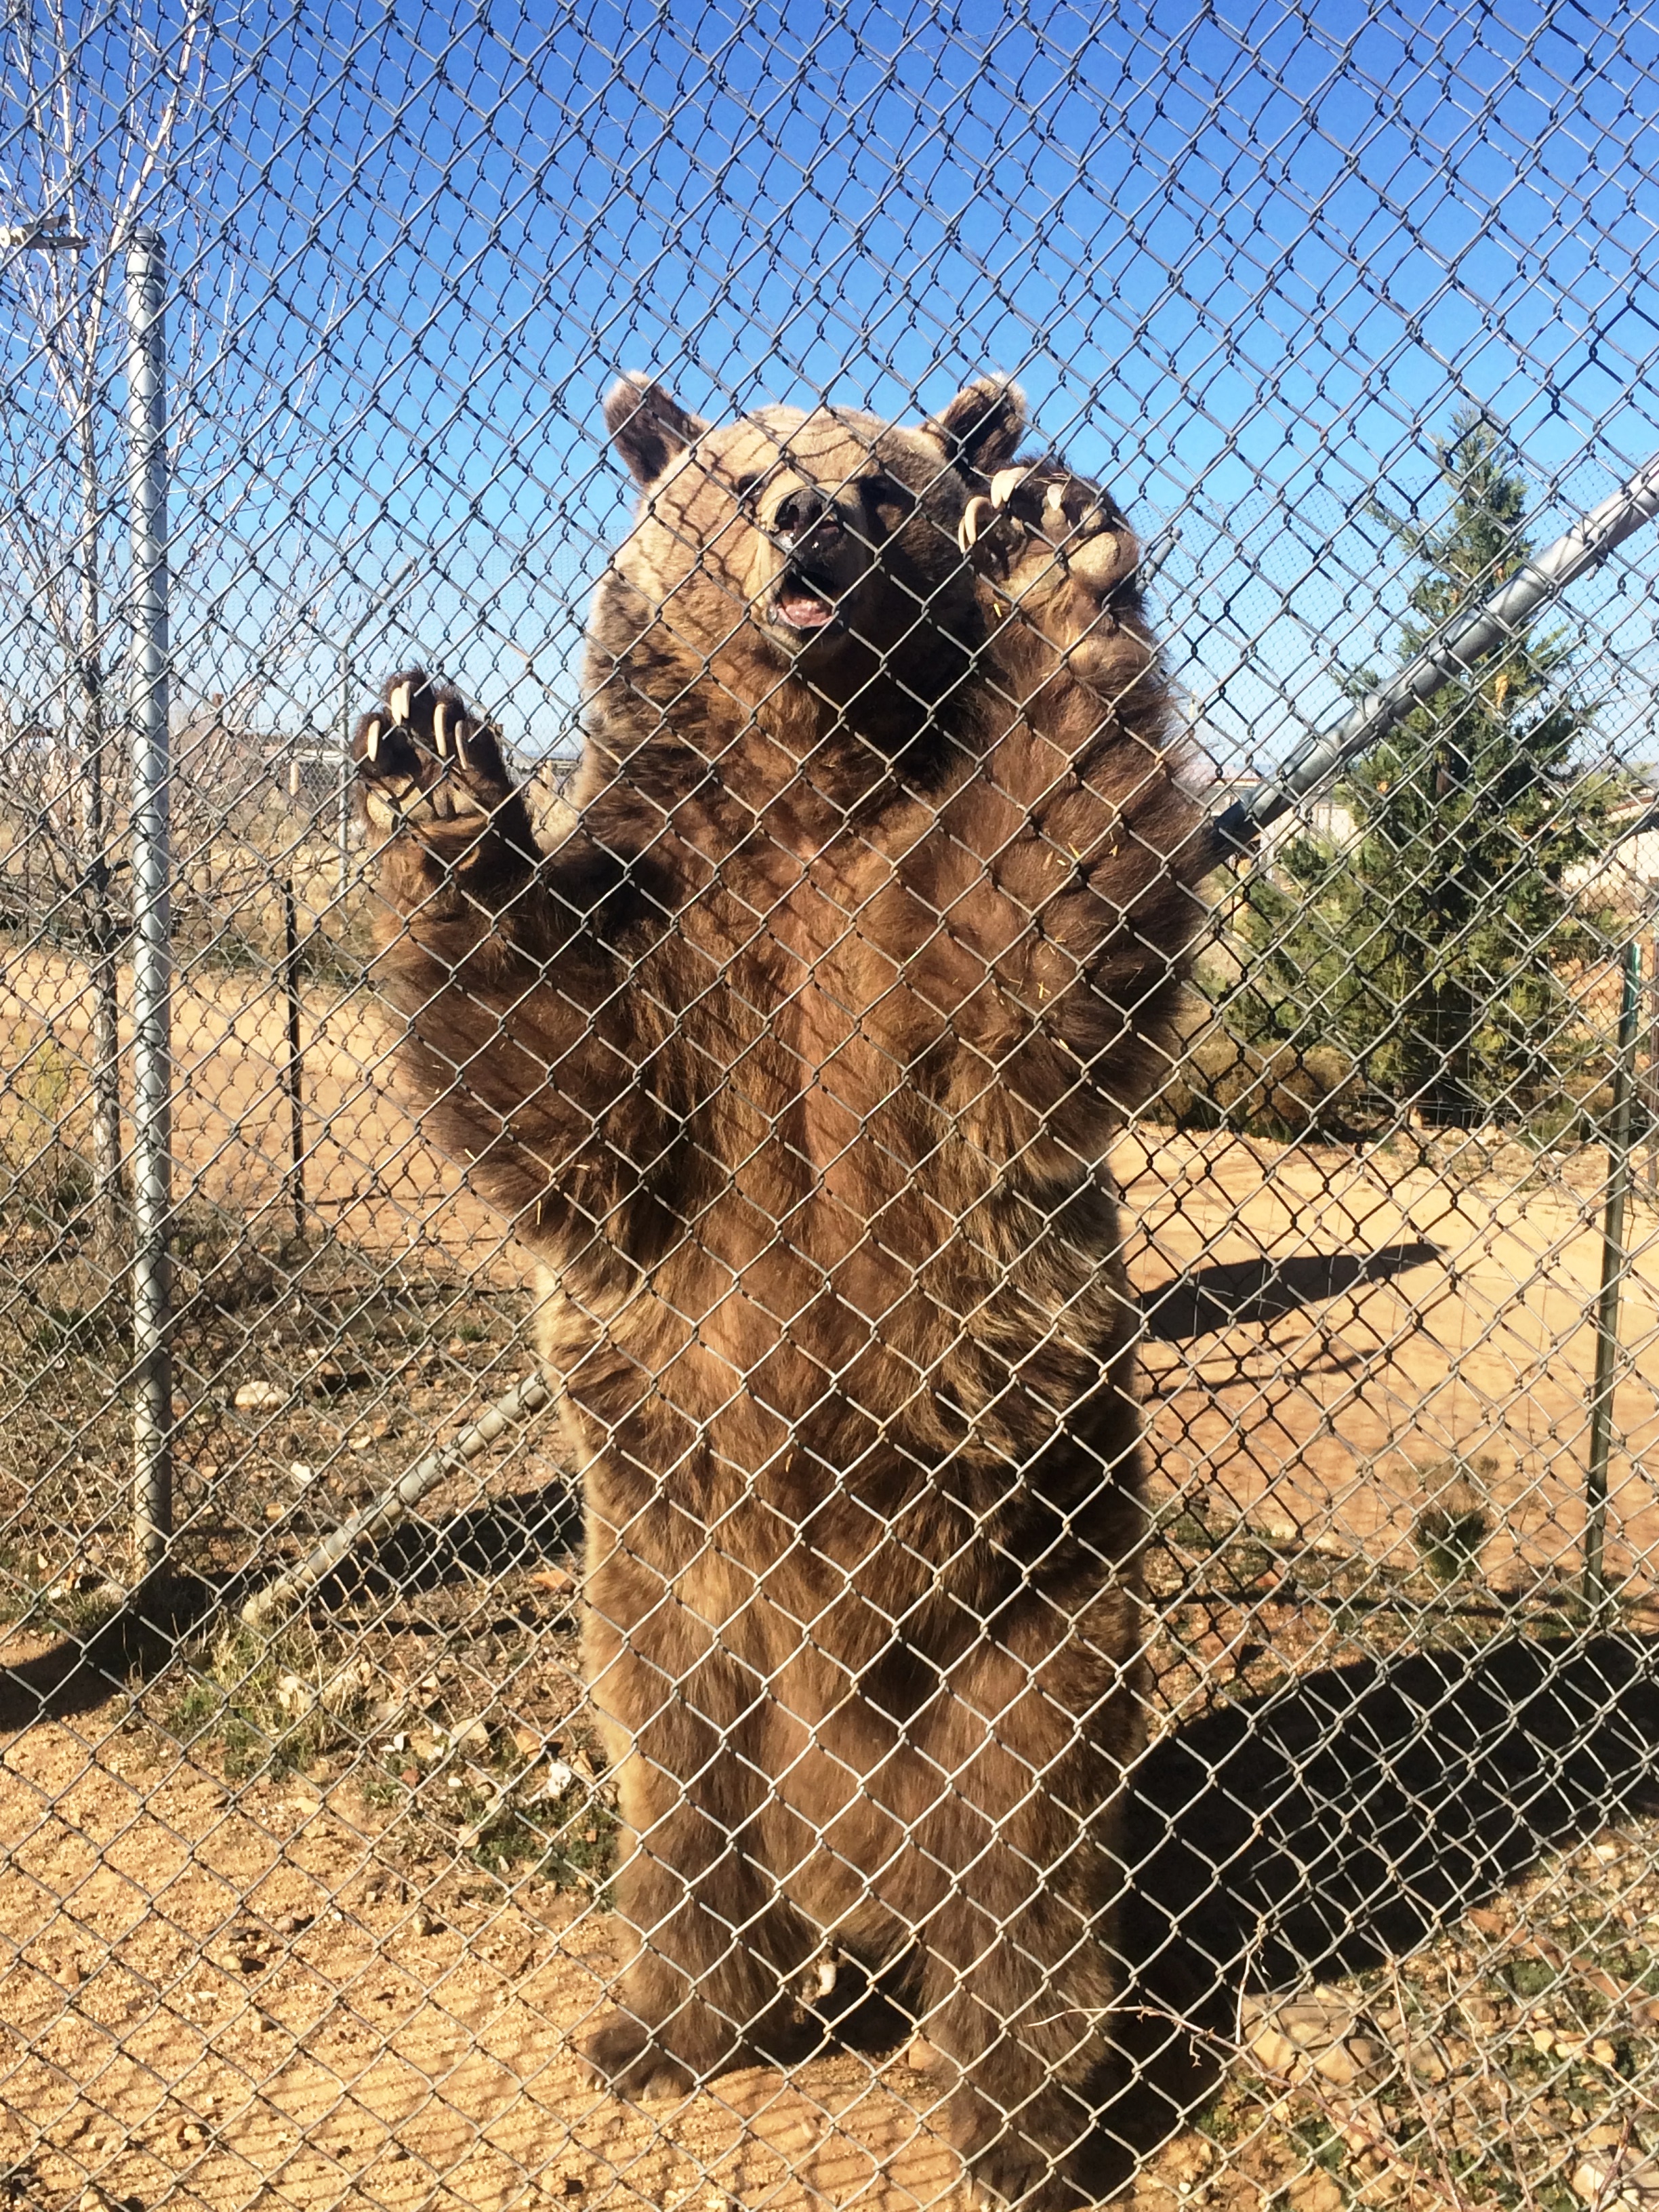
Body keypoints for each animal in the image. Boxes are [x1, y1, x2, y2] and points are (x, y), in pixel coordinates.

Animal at [354, 380, 1212, 2212]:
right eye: (739, 477)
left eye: (886, 483)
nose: (810, 521)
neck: (812, 794)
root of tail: (857, 1873)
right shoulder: (675, 950)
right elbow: (561, 1070)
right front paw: (434, 761)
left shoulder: (917, 972)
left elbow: (1043, 886)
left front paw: (1049, 548)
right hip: (673, 1596)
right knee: (678, 1810)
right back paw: (666, 2025)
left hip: (1024, 1599)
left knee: (1028, 1864)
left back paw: (1031, 2117)